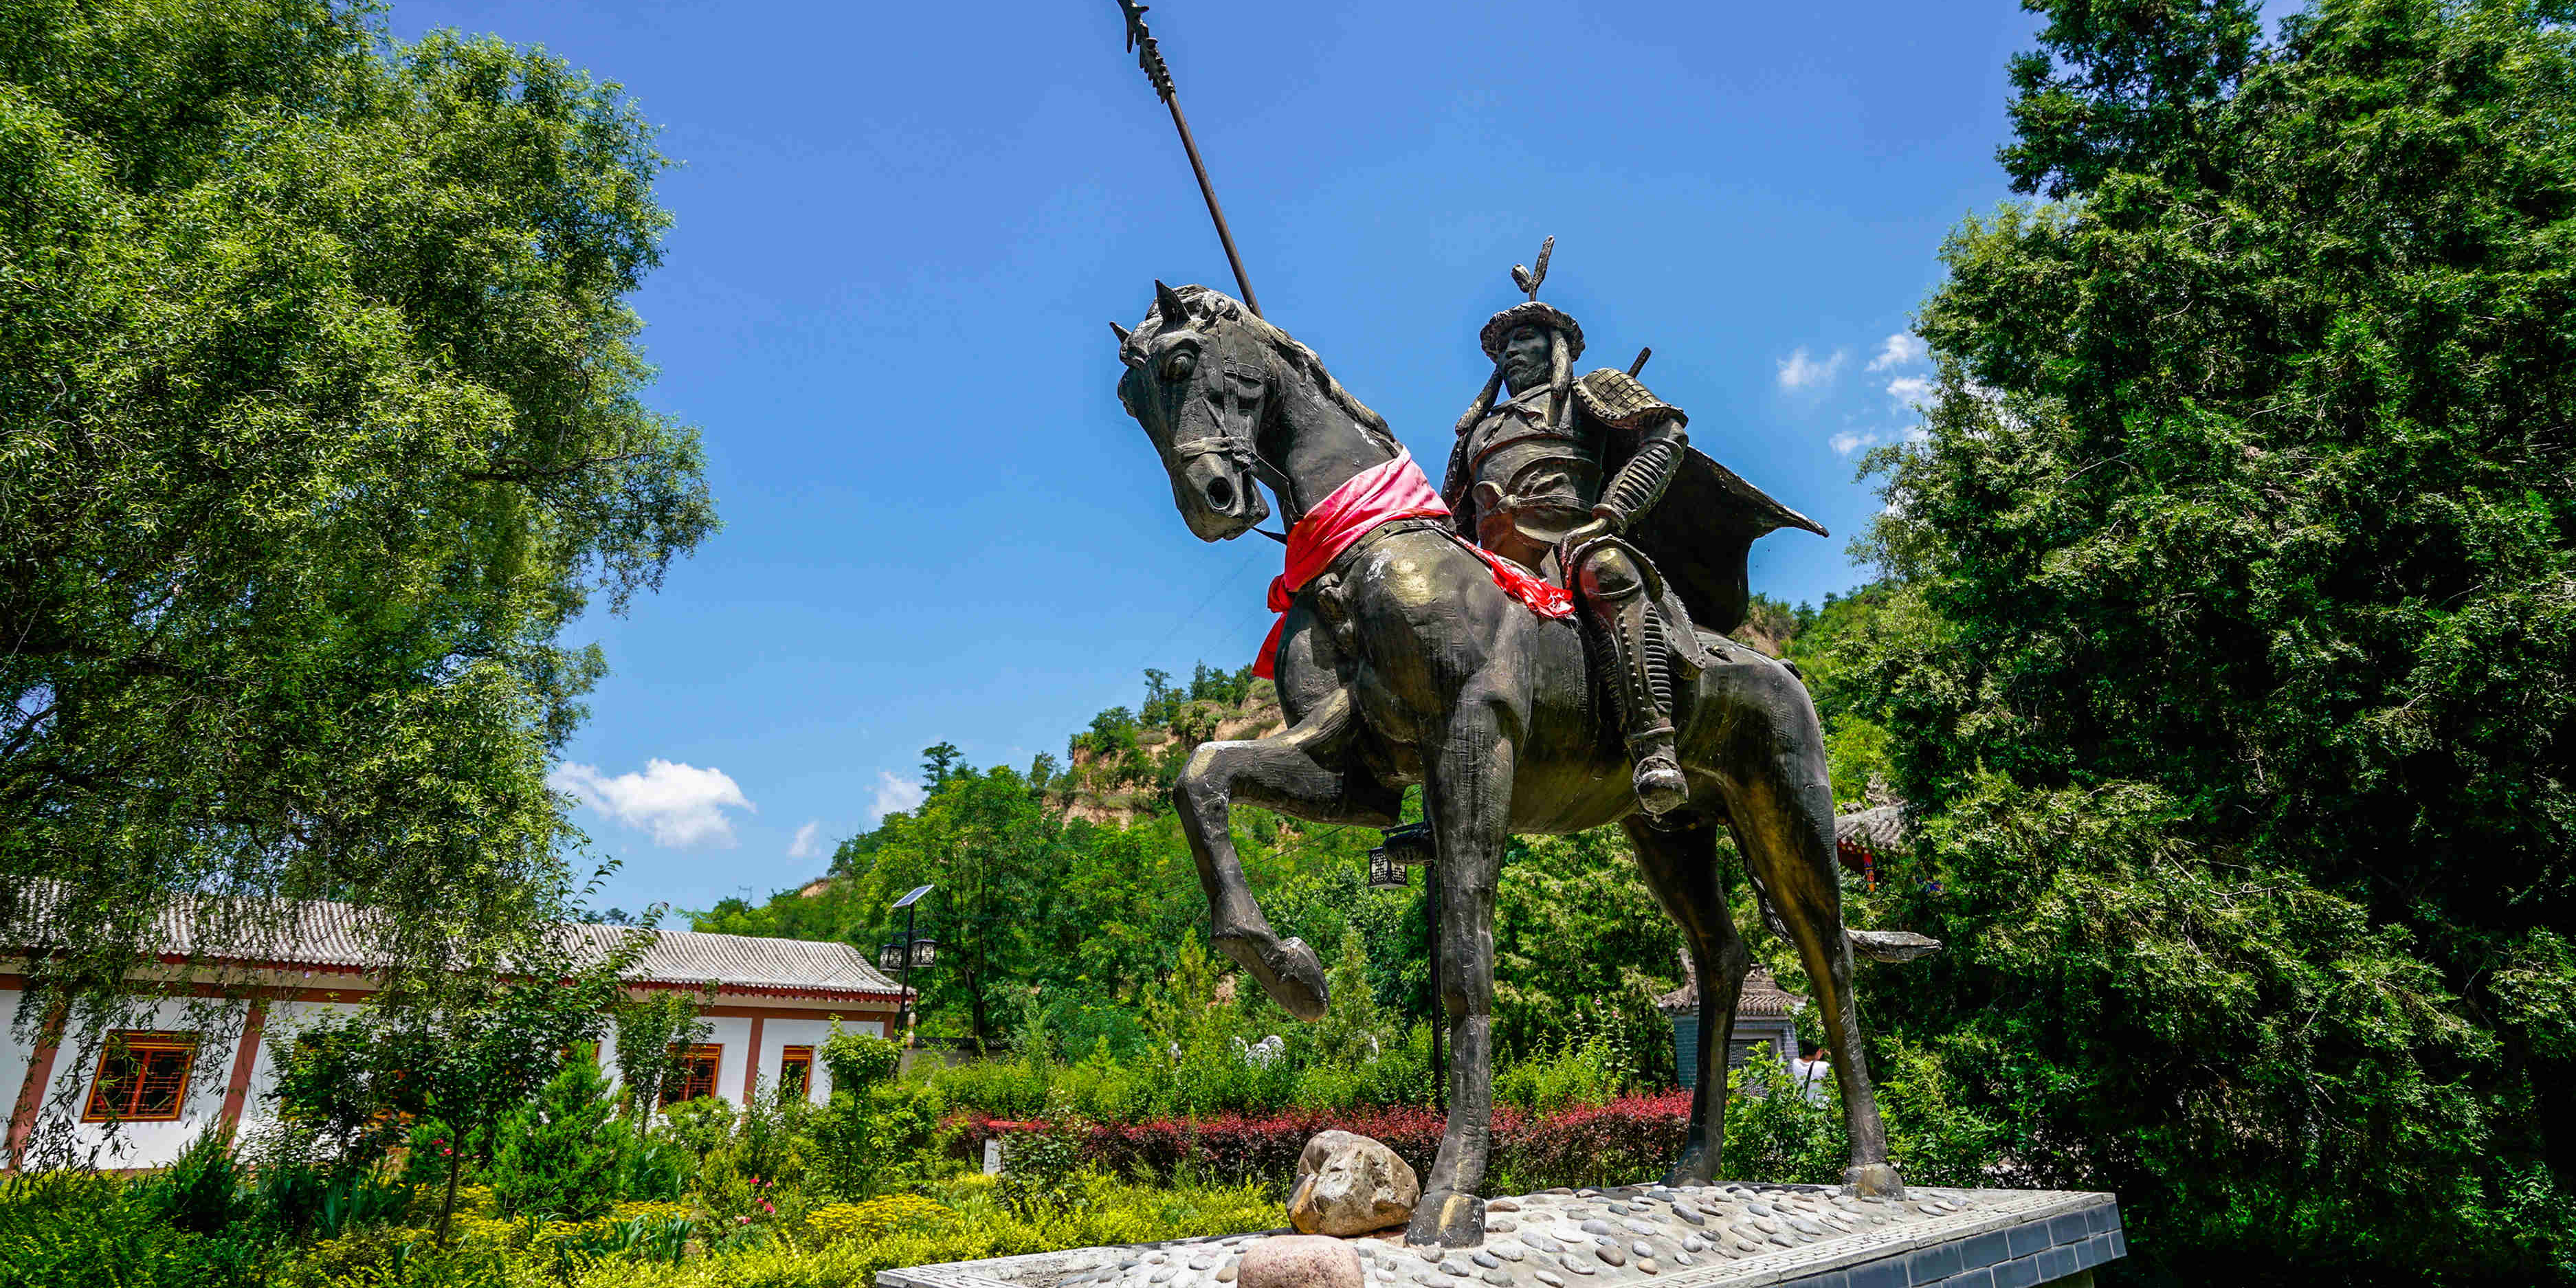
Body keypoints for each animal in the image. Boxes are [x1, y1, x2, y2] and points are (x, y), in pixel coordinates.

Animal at [1118, 287, 1906, 1241]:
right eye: (1131, 400)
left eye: (1182, 363)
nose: (1213, 499)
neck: (1366, 554)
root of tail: (1781, 666)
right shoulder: (1361, 775)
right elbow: (1202, 775)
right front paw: (1289, 970)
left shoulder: (1471, 742)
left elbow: (1464, 956)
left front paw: (1454, 1190)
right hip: (1668, 832)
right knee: (1721, 957)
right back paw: (1694, 1162)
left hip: (1786, 813)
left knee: (1830, 959)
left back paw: (1871, 1167)